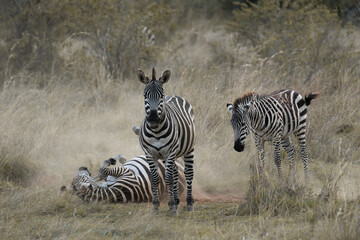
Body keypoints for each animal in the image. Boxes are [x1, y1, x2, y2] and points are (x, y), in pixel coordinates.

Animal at [136, 67, 197, 214]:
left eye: (161, 95)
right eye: (145, 95)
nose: (153, 117)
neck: (156, 131)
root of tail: (174, 95)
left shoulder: (170, 151)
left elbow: (168, 179)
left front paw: (172, 207)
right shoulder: (150, 153)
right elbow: (155, 179)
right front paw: (156, 206)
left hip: (189, 148)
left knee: (188, 173)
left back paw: (188, 203)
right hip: (167, 155)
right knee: (175, 172)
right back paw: (176, 199)